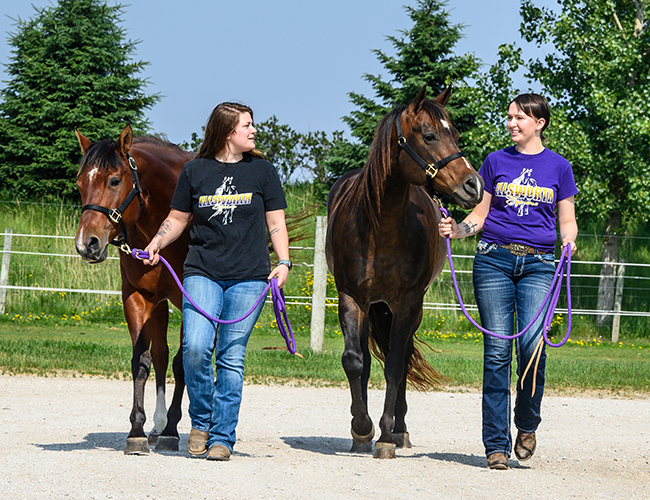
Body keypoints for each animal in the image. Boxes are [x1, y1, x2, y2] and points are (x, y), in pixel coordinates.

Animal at [75, 125, 192, 454]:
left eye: (114, 180)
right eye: (79, 183)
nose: (87, 244)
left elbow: (183, 363)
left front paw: (173, 431)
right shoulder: (137, 298)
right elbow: (142, 361)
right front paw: (138, 431)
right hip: (161, 305)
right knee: (161, 354)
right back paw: (157, 425)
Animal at [326, 86, 484, 459]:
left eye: (456, 135)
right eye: (430, 135)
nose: (473, 185)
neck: (380, 226)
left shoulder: (408, 304)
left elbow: (397, 365)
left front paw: (385, 435)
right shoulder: (350, 297)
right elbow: (354, 361)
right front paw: (361, 428)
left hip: (408, 310)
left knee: (403, 357)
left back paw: (399, 430)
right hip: (372, 306)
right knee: (368, 361)